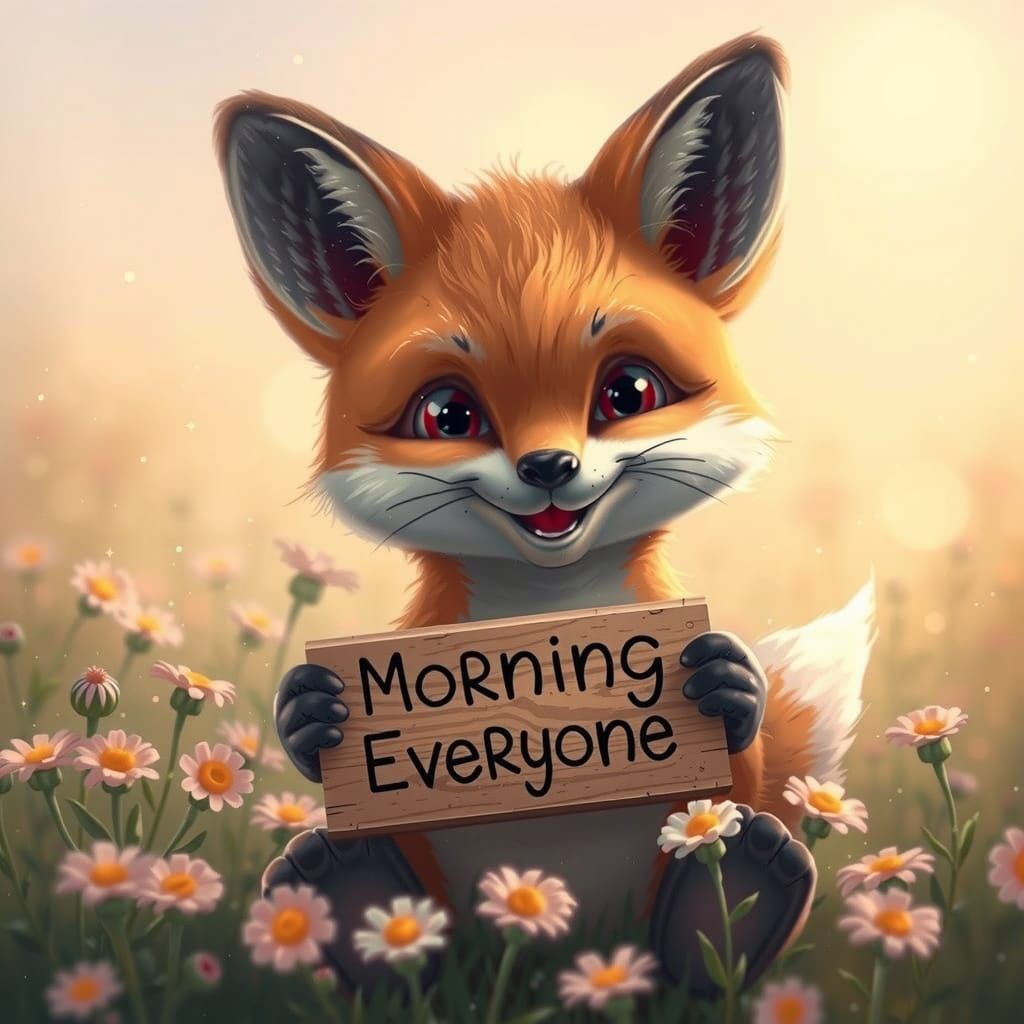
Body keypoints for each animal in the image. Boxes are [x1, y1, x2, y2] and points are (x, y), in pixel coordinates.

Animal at [215, 33, 874, 999]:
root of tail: (561, 950)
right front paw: (311, 712)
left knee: (715, 905)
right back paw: (349, 889)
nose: (550, 467)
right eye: (449, 415)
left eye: (627, 391)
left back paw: (729, 906)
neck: (547, 618)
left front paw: (729, 683)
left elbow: (743, 757)